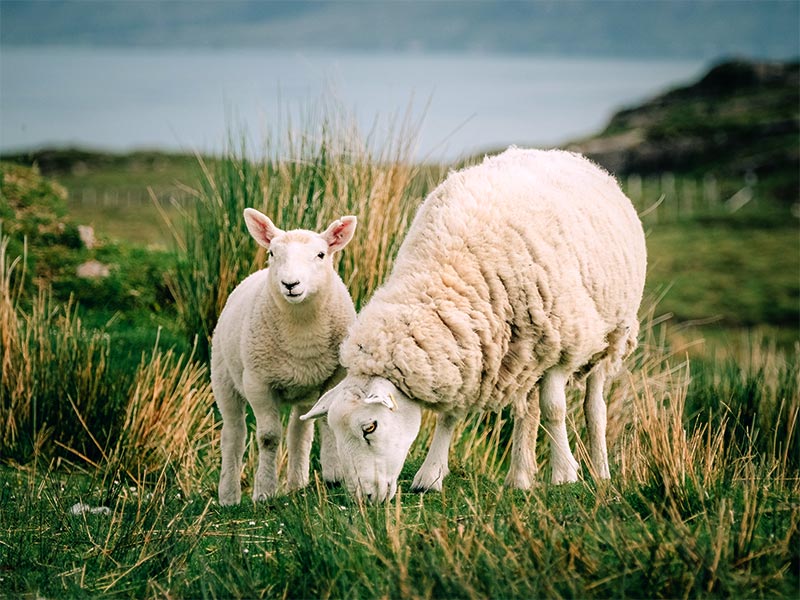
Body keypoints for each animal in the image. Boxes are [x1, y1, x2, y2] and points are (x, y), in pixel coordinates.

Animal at [212, 209, 356, 504]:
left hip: (305, 390)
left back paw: (297, 484)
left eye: (321, 254)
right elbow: (268, 437)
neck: (302, 329)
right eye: (272, 253)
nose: (290, 284)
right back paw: (229, 496)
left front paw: (334, 475)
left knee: (299, 432)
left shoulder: (335, 377)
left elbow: (325, 422)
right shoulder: (258, 383)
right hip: (223, 379)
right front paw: (264, 491)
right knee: (233, 435)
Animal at [304, 149, 648, 502]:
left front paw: (564, 474)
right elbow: (449, 417)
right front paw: (430, 475)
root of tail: (564, 154)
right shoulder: (467, 348)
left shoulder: (563, 342)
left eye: (370, 427)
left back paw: (600, 470)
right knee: (526, 411)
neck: (446, 271)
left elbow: (554, 408)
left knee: (594, 408)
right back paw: (520, 476)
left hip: (611, 337)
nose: (363, 499)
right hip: (526, 352)